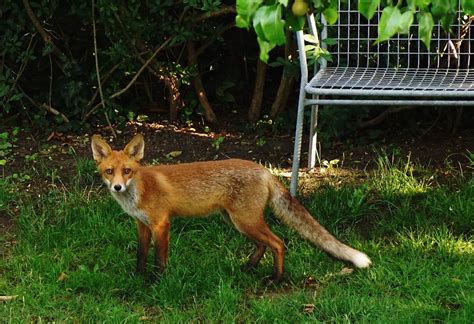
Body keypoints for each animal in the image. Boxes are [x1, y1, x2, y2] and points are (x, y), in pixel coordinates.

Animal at [90, 134, 370, 280]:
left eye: (127, 171)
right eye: (109, 172)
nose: (117, 187)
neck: (140, 189)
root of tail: (263, 170)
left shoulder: (161, 224)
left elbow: (160, 258)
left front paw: (158, 282)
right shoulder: (141, 224)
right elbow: (141, 254)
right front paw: (138, 277)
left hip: (245, 221)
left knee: (278, 243)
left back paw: (276, 278)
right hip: (236, 221)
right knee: (263, 245)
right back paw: (247, 268)